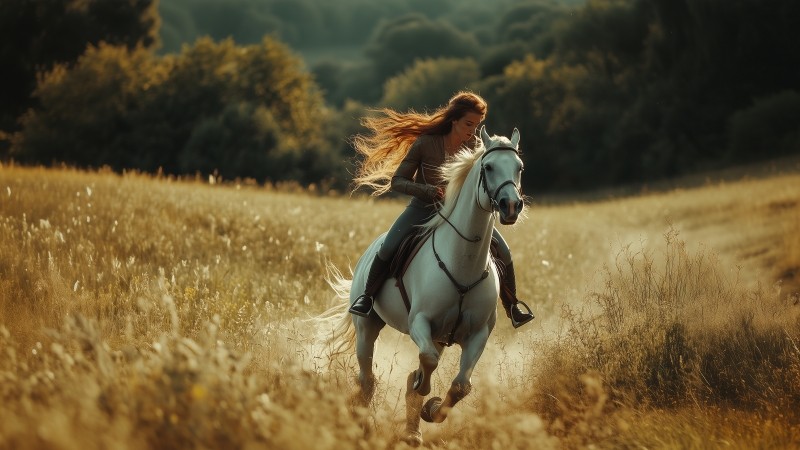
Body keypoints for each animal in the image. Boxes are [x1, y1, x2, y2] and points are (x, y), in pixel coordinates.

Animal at [323, 126, 525, 446]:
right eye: (489, 167)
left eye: (519, 168)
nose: (511, 206)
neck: (462, 261)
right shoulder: (420, 321)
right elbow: (427, 362)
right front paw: (423, 391)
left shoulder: (478, 334)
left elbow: (460, 386)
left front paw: (431, 409)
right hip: (367, 327)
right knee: (367, 380)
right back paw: (364, 426)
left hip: (439, 336)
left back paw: (412, 433)